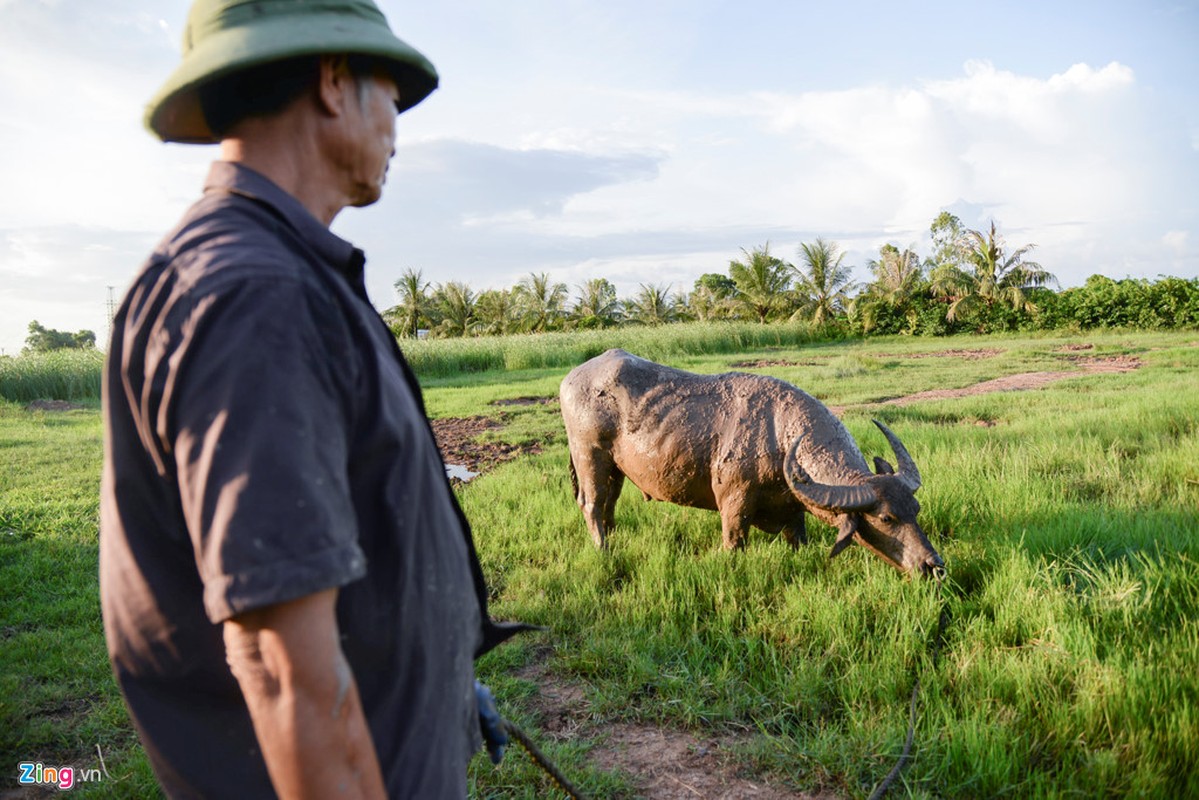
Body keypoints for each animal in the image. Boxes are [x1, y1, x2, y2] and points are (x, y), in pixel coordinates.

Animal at [558, 350, 944, 575]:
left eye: (916, 510)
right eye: (886, 518)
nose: (934, 566)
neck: (779, 437)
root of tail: (572, 378)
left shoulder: (794, 513)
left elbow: (797, 538)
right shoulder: (734, 505)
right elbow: (733, 542)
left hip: (616, 468)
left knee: (609, 503)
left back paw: (614, 536)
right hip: (589, 454)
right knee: (591, 503)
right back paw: (604, 549)